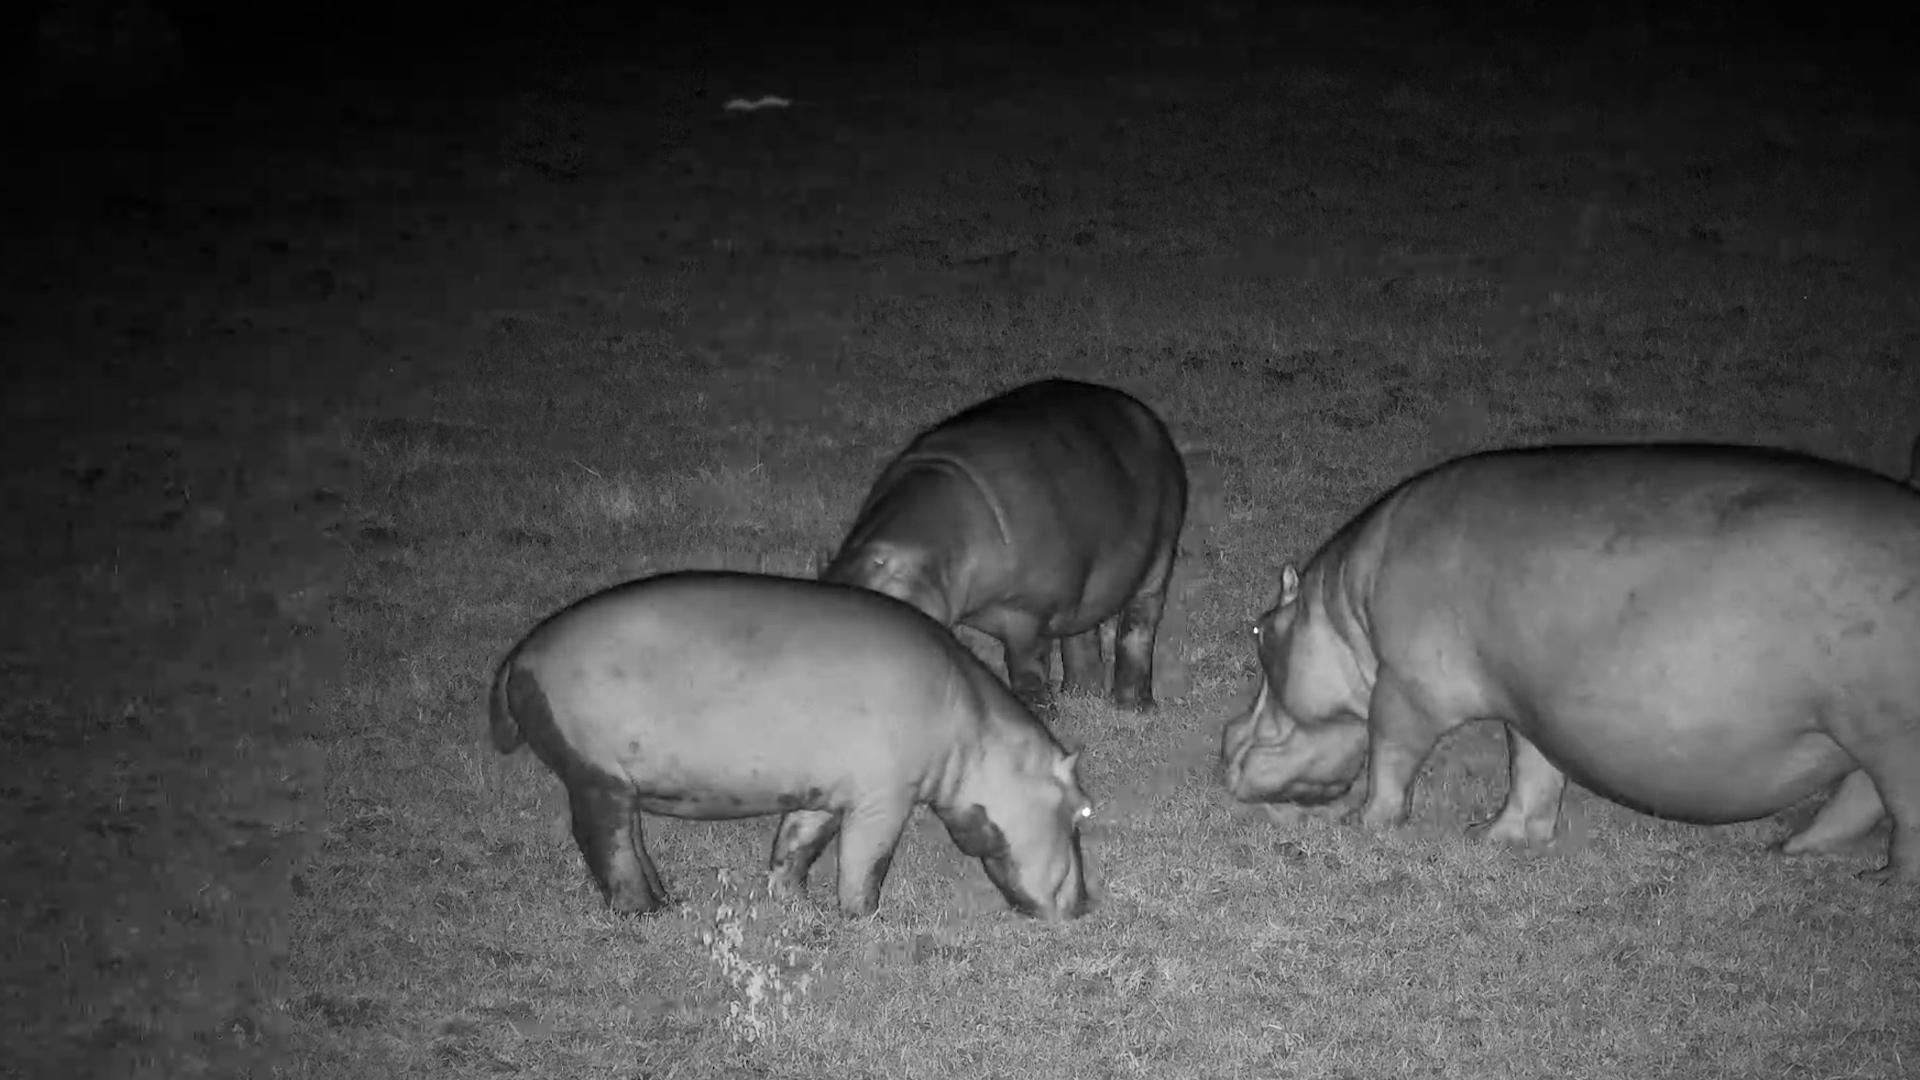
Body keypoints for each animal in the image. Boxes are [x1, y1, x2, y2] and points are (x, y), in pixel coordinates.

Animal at [488, 570, 1092, 920]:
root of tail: (519, 657)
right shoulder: (885, 799)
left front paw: (793, 903)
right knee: (604, 844)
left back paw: (669, 902)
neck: (978, 738)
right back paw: (644, 913)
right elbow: (866, 861)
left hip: (619, 785)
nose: (1089, 903)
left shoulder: (822, 794)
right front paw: (865, 920)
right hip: (597, 778)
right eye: (1083, 809)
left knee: (631, 844)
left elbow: (798, 846)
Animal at [822, 378, 1187, 710]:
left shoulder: (1027, 612)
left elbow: (1028, 666)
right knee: (1081, 633)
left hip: (1159, 557)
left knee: (1138, 627)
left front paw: (1038, 711)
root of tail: (1145, 415)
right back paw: (1081, 694)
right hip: (1086, 586)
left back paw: (1133, 707)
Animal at [1220, 441, 1920, 882]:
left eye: (1258, 629)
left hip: (1890, 737)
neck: (1343, 615)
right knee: (1856, 798)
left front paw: (1358, 824)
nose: (1223, 749)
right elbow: (1533, 773)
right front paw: (1492, 838)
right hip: (1859, 735)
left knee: (1901, 817)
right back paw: (1792, 851)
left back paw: (1880, 882)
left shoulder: (1407, 689)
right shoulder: (1532, 707)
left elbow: (1390, 758)